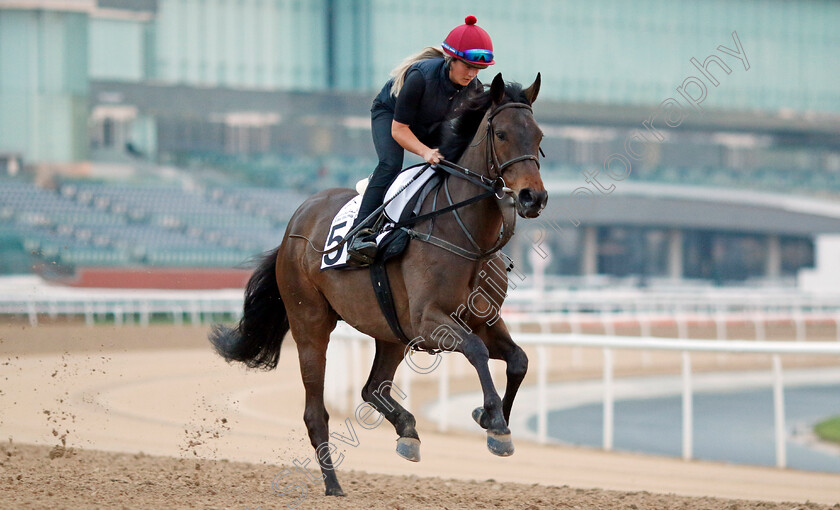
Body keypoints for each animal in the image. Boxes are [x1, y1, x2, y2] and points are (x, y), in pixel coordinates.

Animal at [209, 73, 548, 496]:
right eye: (501, 134)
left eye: (539, 136)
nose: (533, 197)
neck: (465, 236)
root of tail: (295, 224)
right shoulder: (429, 322)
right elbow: (476, 351)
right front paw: (496, 424)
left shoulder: (483, 320)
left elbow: (518, 360)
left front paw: (489, 417)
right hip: (310, 324)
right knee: (315, 411)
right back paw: (334, 485)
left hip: (390, 332)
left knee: (372, 387)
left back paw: (408, 433)